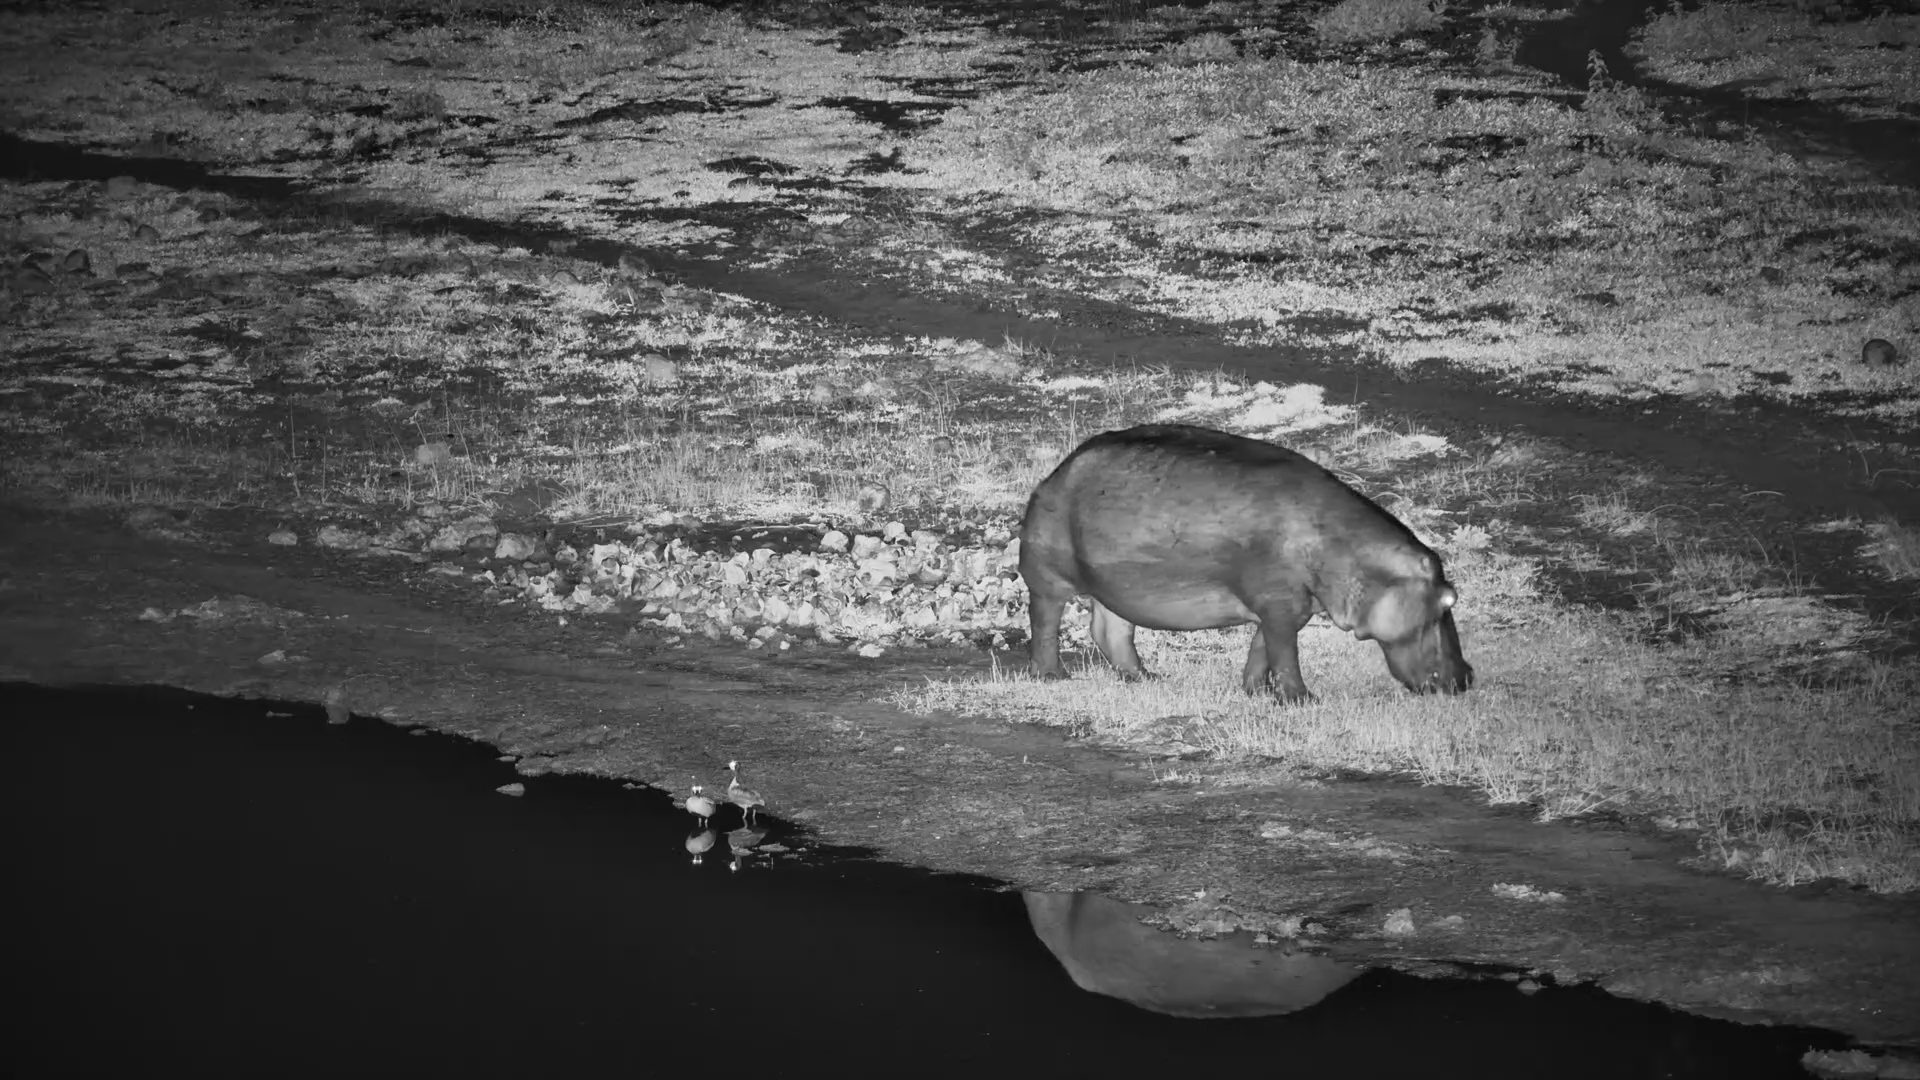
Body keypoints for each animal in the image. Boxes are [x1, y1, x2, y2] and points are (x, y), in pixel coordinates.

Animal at [1017, 424, 1472, 702]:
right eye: (1447, 601)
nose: (1467, 676)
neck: (1349, 552)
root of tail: (1058, 470)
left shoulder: (1287, 604)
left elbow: (1263, 648)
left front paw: (1255, 691)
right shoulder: (1280, 602)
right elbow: (1285, 652)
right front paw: (1302, 700)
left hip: (1114, 584)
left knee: (1110, 631)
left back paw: (1145, 677)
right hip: (1048, 576)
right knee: (1045, 620)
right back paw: (1053, 676)